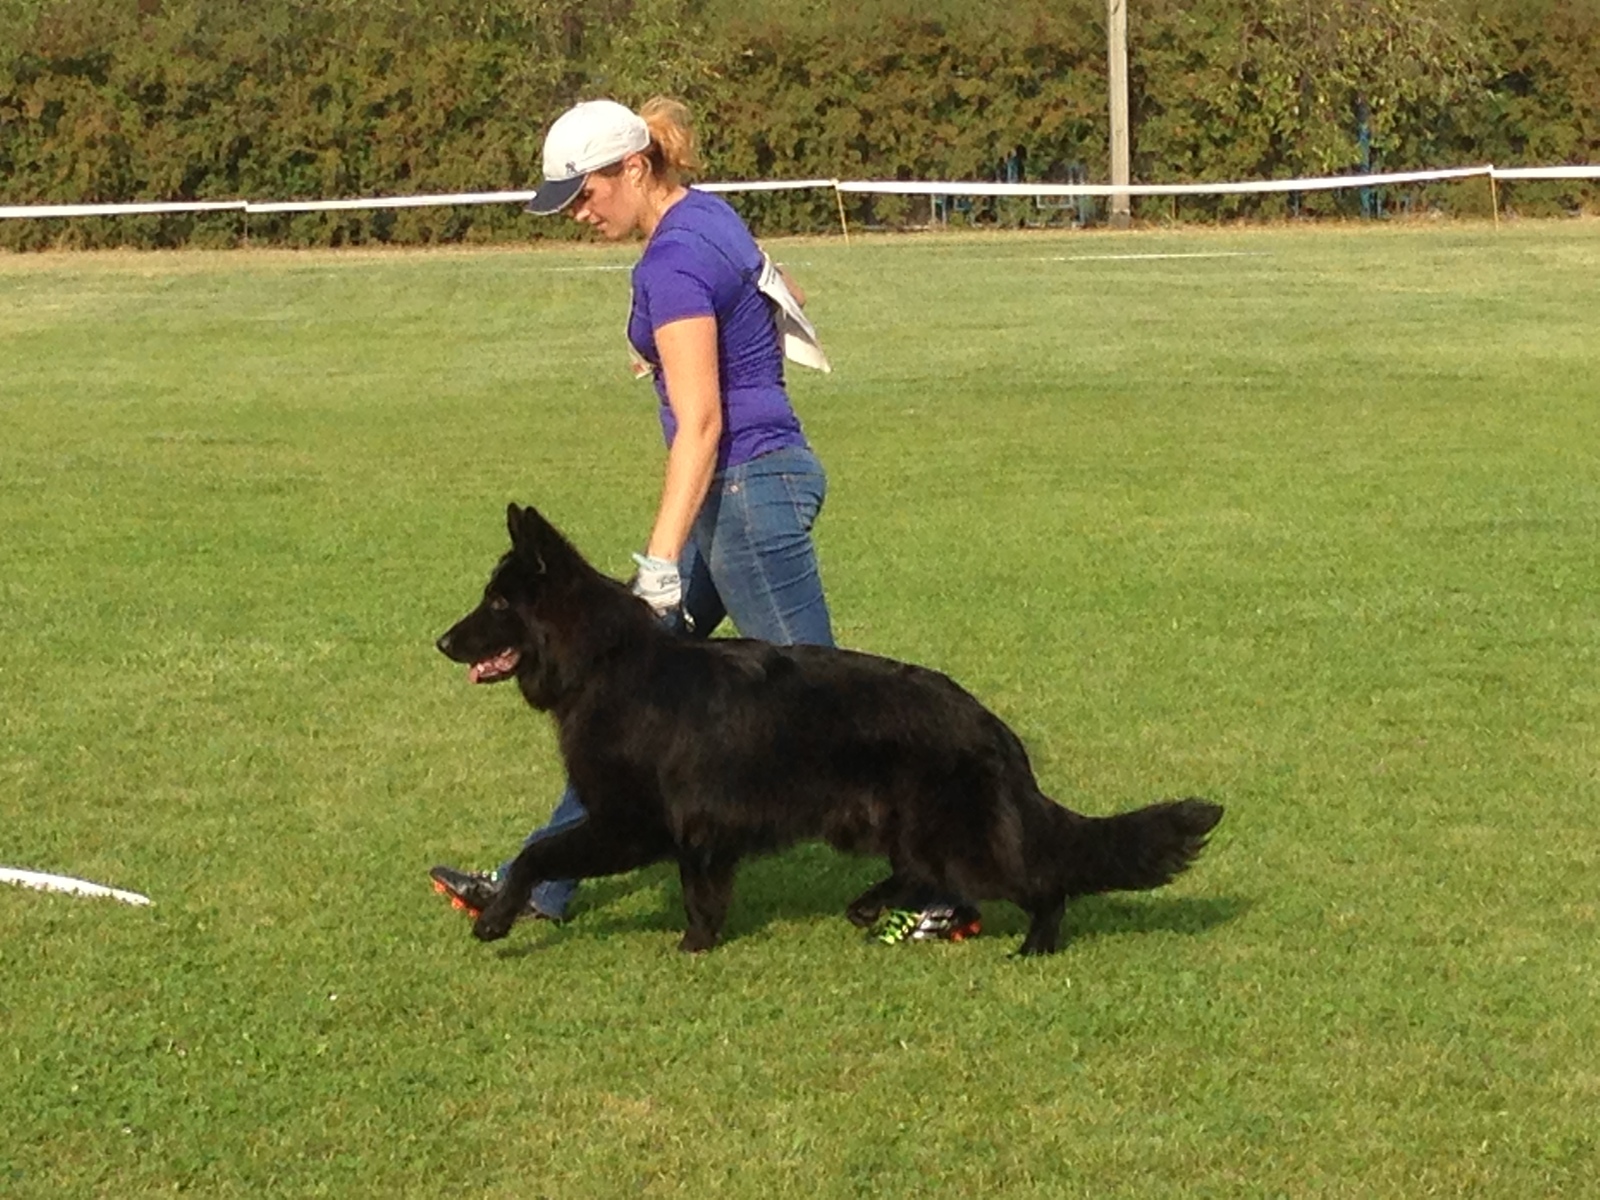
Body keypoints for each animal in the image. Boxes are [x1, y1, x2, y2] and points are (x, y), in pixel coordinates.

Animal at [432, 505, 1216, 960]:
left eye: (497, 604)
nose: (440, 641)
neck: (604, 662)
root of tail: (991, 726)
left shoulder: (630, 825)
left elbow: (537, 852)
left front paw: (495, 918)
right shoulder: (697, 836)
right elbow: (698, 892)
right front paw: (698, 945)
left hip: (951, 836)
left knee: (1041, 881)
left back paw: (1035, 948)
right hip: (890, 825)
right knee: (928, 874)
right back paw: (873, 906)